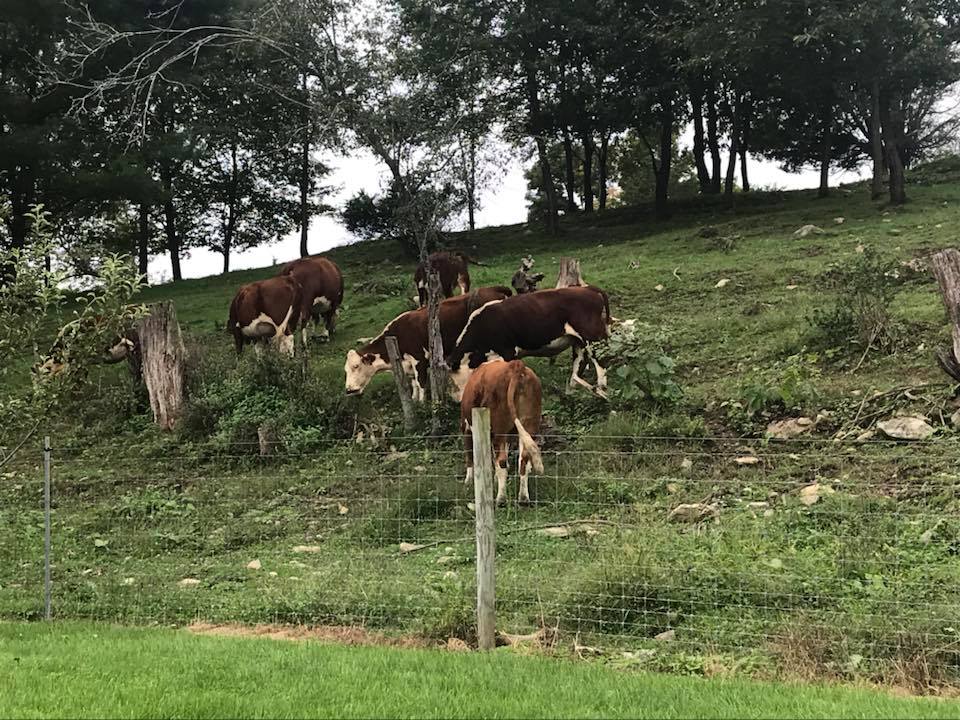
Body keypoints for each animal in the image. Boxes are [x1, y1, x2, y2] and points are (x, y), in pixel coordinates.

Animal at [344, 286, 512, 400]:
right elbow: (414, 384)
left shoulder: (419, 360)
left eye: (356, 366)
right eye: (346, 370)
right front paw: (415, 401)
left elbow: (421, 384)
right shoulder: (408, 365)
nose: (349, 389)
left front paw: (422, 404)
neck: (399, 333)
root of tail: (493, 288)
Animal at [446, 286, 612, 400]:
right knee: (578, 366)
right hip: (577, 341)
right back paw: (571, 393)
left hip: (593, 337)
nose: (457, 400)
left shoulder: (507, 352)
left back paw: (602, 390)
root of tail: (587, 288)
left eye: (454, 382)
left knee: (601, 363)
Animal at [462, 360, 544, 506]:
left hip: (500, 429)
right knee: (523, 459)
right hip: (529, 423)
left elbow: (470, 455)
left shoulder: (467, 428)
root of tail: (516, 366)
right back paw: (523, 498)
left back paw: (501, 499)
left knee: (501, 461)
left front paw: (469, 481)